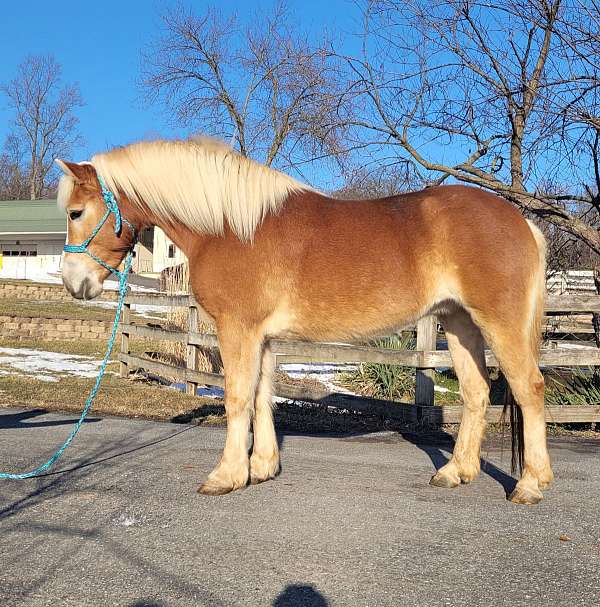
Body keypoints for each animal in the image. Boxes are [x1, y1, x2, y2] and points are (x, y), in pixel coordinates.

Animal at [56, 137, 552, 504]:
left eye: (76, 212)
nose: (73, 282)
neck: (230, 226)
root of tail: (522, 223)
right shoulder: (262, 336)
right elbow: (262, 395)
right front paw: (262, 468)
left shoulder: (238, 329)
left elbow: (238, 397)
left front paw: (226, 475)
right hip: (459, 321)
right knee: (476, 392)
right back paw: (456, 471)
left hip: (497, 322)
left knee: (529, 389)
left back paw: (530, 484)